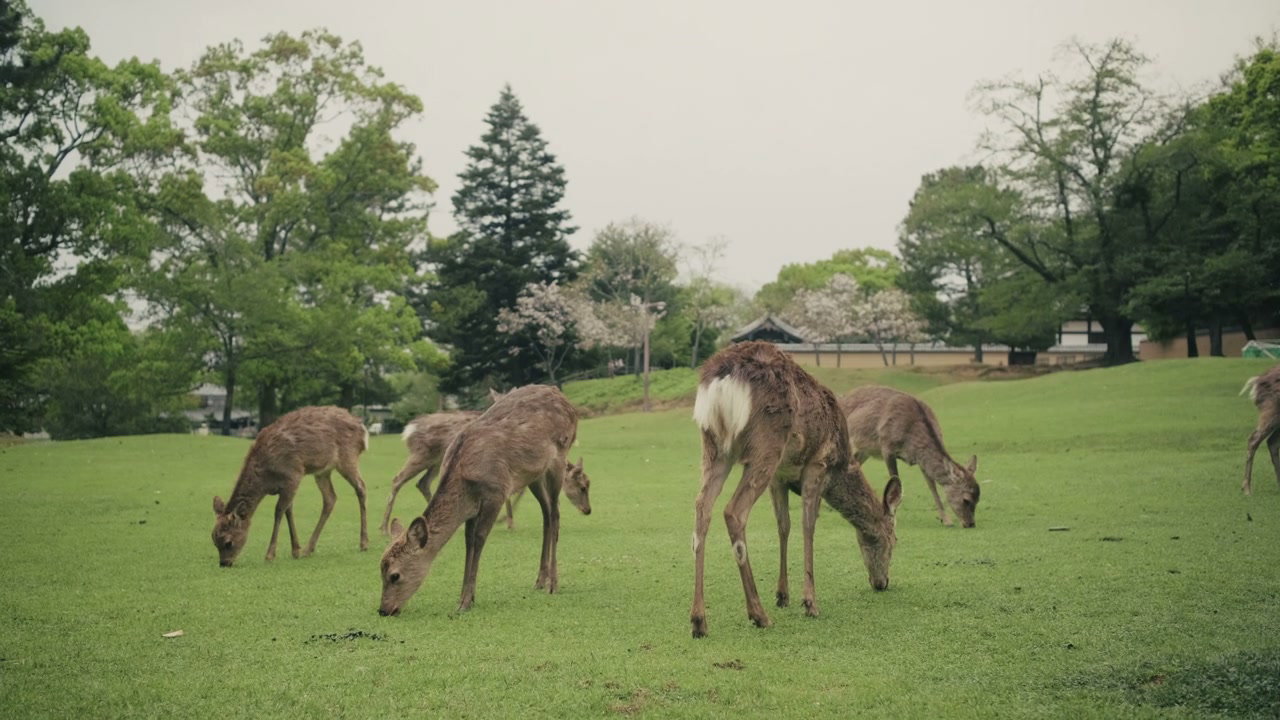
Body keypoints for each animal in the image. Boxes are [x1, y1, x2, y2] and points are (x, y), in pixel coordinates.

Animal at [211, 405, 370, 567]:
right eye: (214, 540)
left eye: (228, 542)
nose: (224, 563)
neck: (265, 480)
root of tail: (362, 428)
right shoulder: (287, 485)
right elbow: (289, 510)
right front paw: (296, 550)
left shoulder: (294, 474)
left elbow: (279, 511)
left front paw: (270, 555)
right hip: (323, 471)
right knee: (330, 498)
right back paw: (308, 549)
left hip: (348, 456)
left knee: (361, 487)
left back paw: (364, 543)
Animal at [378, 385, 591, 616]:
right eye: (380, 570)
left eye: (395, 575)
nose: (383, 610)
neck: (464, 479)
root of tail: (565, 399)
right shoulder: (472, 507)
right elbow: (468, 541)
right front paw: (466, 597)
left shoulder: (495, 492)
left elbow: (479, 539)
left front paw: (465, 601)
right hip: (534, 473)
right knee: (546, 513)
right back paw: (540, 580)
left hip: (557, 458)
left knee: (555, 513)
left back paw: (553, 583)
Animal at [690, 341, 902, 638]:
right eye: (893, 540)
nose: (882, 582)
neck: (840, 465)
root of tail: (722, 379)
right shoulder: (817, 463)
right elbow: (808, 526)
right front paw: (810, 602)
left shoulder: (779, 477)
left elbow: (784, 526)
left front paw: (782, 595)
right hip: (766, 444)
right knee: (733, 511)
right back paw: (758, 615)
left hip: (715, 446)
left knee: (702, 507)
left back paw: (699, 621)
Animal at [839, 386, 981, 528]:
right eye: (966, 499)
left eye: (978, 498)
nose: (970, 523)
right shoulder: (887, 447)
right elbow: (895, 480)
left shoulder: (921, 460)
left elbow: (932, 487)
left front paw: (946, 520)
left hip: (864, 451)